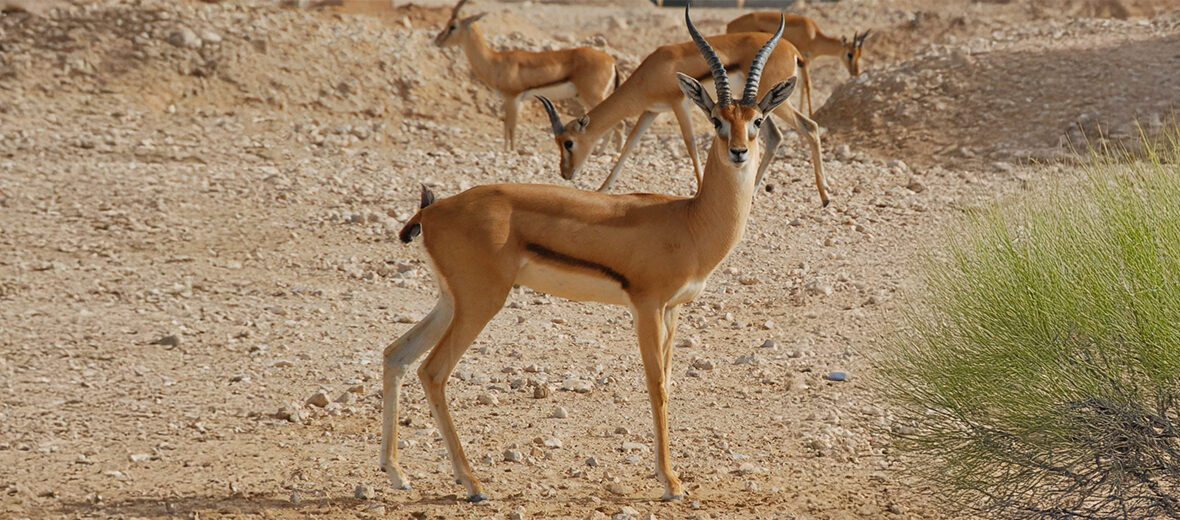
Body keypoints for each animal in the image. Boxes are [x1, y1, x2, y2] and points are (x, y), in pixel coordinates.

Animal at [435, 0, 622, 151]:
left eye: (453, 26)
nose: (437, 41)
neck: (496, 61)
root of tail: (611, 61)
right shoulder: (516, 100)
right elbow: (508, 127)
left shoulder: (512, 98)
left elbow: (510, 127)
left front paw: (510, 152)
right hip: (585, 97)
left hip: (592, 96)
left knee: (617, 123)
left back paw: (605, 153)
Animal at [539, 16, 826, 205]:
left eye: (568, 143)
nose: (565, 173)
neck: (653, 70)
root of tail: (793, 49)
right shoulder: (651, 111)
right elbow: (630, 144)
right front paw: (602, 188)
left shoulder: (679, 104)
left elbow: (690, 143)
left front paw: (699, 190)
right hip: (766, 107)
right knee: (776, 136)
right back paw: (753, 190)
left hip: (775, 105)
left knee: (809, 127)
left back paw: (824, 197)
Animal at [726, 12, 869, 116]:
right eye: (850, 54)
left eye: (859, 54)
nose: (855, 72)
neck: (813, 36)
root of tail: (729, 25)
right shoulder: (805, 61)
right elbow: (807, 85)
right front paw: (810, 113)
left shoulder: (804, 63)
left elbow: (802, 87)